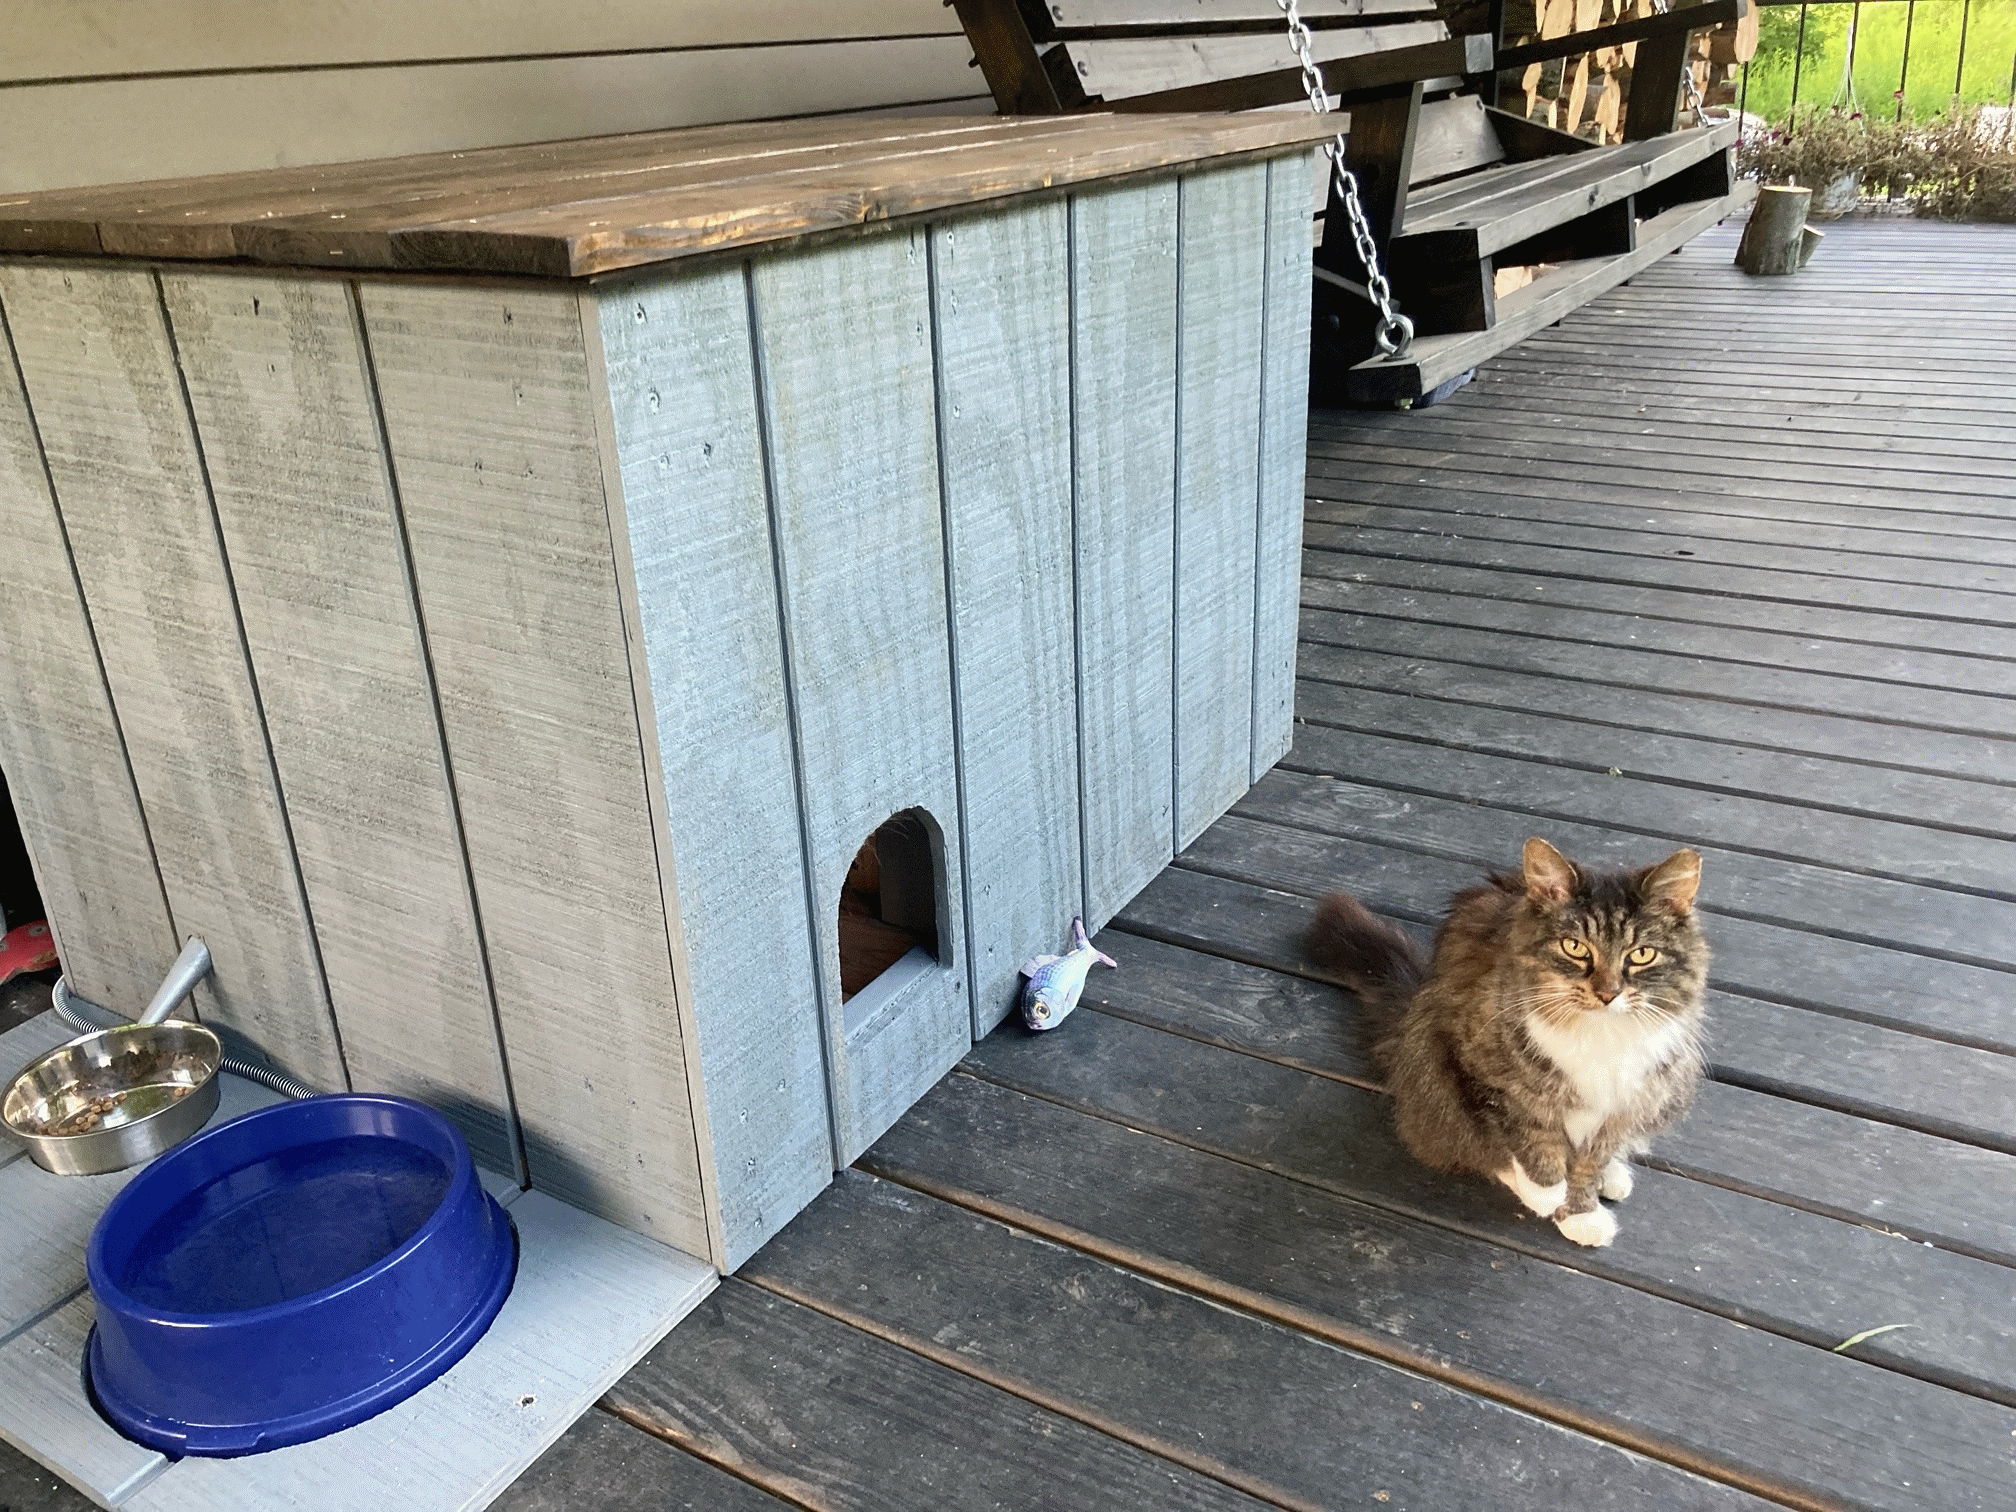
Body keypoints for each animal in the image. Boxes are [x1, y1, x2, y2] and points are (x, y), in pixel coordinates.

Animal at [1306, 834, 1701, 1249]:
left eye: (1641, 954)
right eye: (1574, 947)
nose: (1608, 993)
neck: (1599, 1037)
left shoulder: (1629, 1099)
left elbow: (1589, 1162)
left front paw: (1582, 1209)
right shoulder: (1479, 1072)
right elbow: (1526, 1139)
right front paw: (1548, 1194)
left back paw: (1613, 1175)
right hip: (1431, 1071)